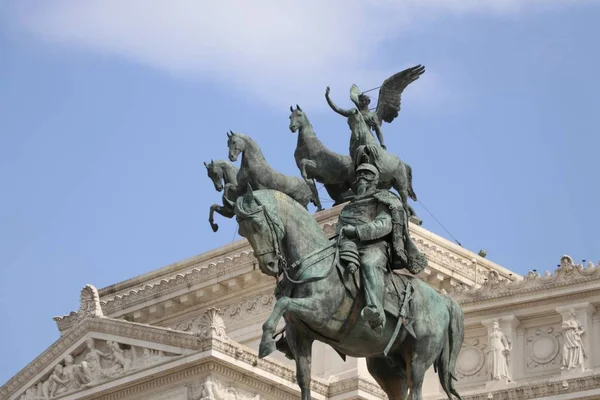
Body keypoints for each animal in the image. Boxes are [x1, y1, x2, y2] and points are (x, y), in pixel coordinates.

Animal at [234, 188, 464, 400]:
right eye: (242, 231)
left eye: (257, 224)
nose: (268, 265)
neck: (315, 262)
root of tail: (443, 300)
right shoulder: (298, 333)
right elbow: (304, 379)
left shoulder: (321, 313)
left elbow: (283, 302)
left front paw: (265, 343)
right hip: (386, 364)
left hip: (418, 357)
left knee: (415, 389)